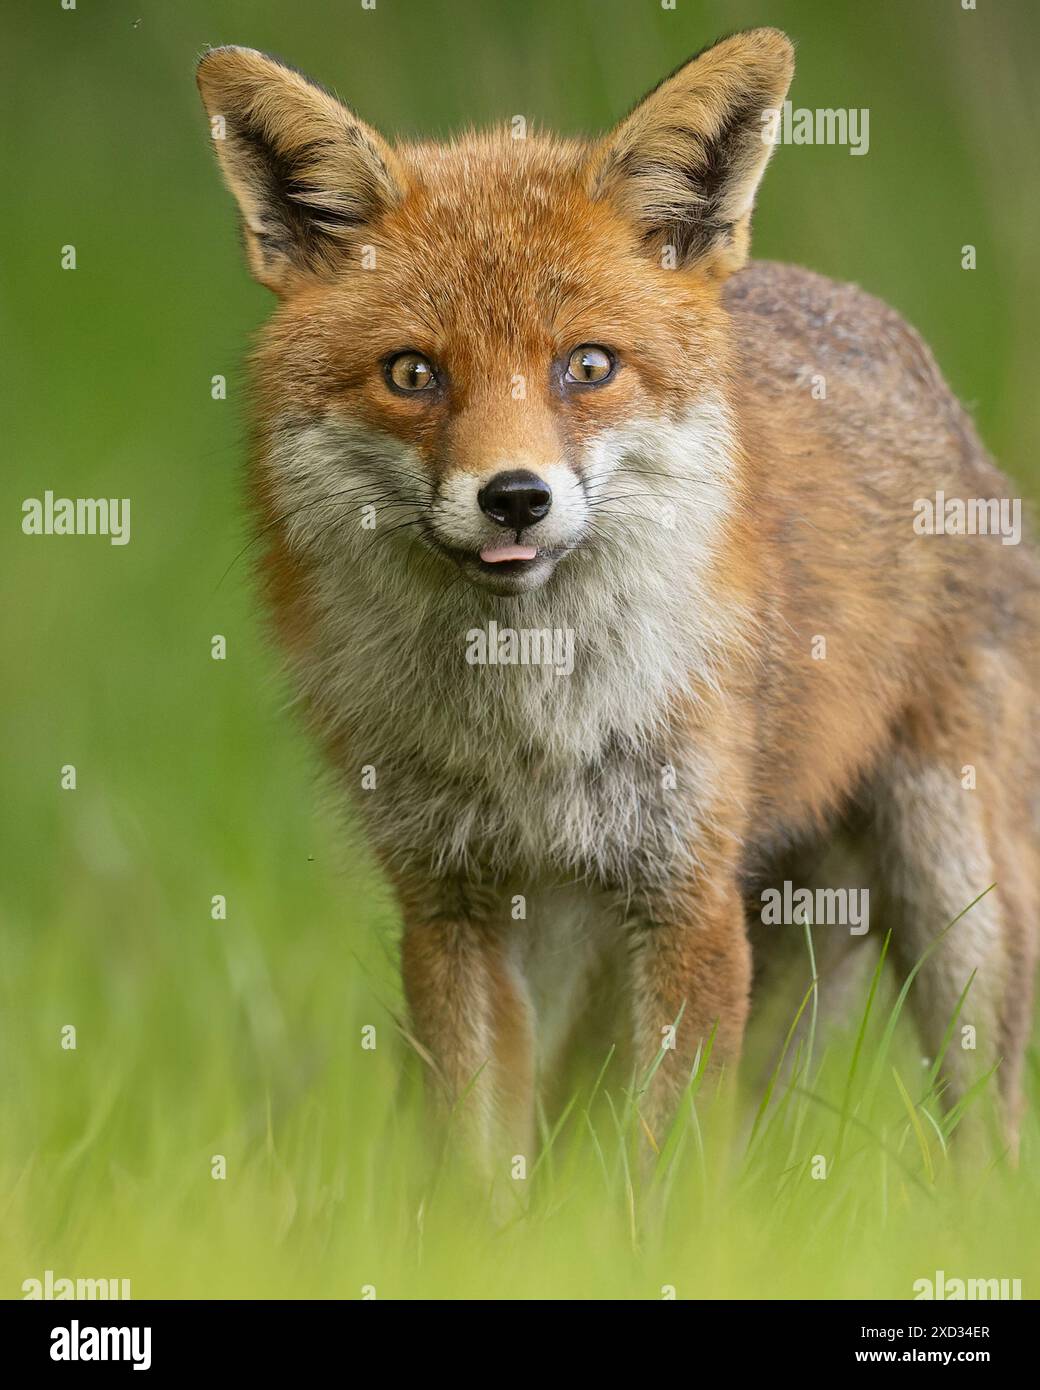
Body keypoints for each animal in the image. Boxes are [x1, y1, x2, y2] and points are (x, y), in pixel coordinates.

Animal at [196, 29, 1039, 1171]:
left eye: (586, 364)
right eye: (412, 373)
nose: (514, 496)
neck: (530, 722)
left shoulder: (685, 894)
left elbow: (667, 1163)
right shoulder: (450, 902)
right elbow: (480, 1161)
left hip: (956, 901)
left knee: (984, 1138)